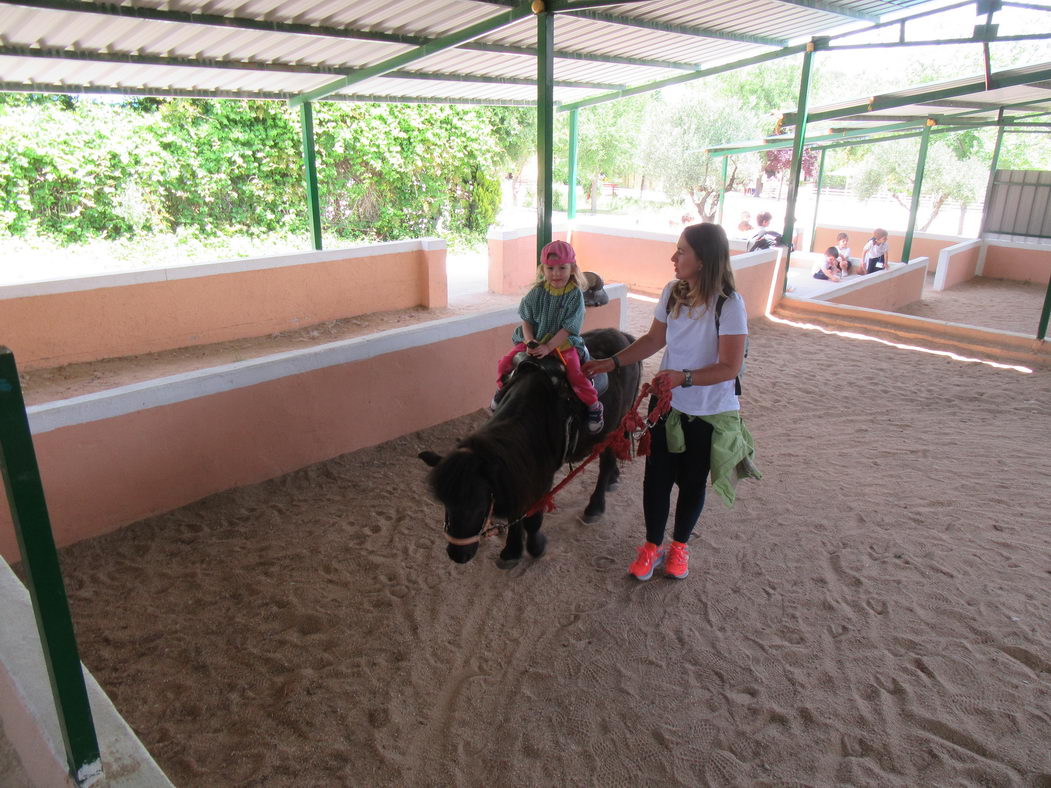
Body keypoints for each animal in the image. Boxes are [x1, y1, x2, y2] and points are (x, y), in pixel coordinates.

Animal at [418, 327, 639, 567]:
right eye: (445, 503)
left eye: (478, 504)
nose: (457, 555)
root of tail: (624, 336)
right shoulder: (515, 473)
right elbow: (516, 514)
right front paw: (511, 550)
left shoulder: (542, 479)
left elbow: (532, 518)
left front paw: (535, 546)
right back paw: (613, 479)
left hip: (613, 426)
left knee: (605, 463)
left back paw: (595, 506)